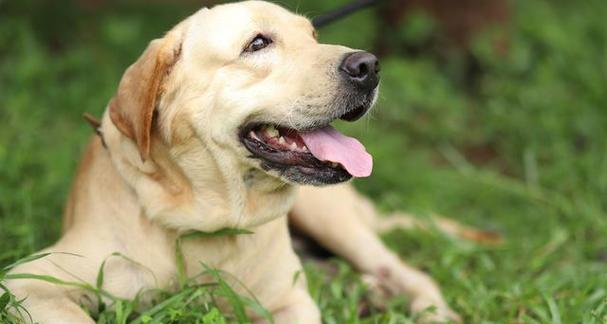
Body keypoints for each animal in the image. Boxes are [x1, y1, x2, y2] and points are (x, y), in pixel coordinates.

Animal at [5, 1, 460, 322]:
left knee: (405, 272)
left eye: (313, 36)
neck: (205, 220)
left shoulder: (290, 302)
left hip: (334, 221)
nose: (369, 65)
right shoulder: (28, 283)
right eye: (257, 43)